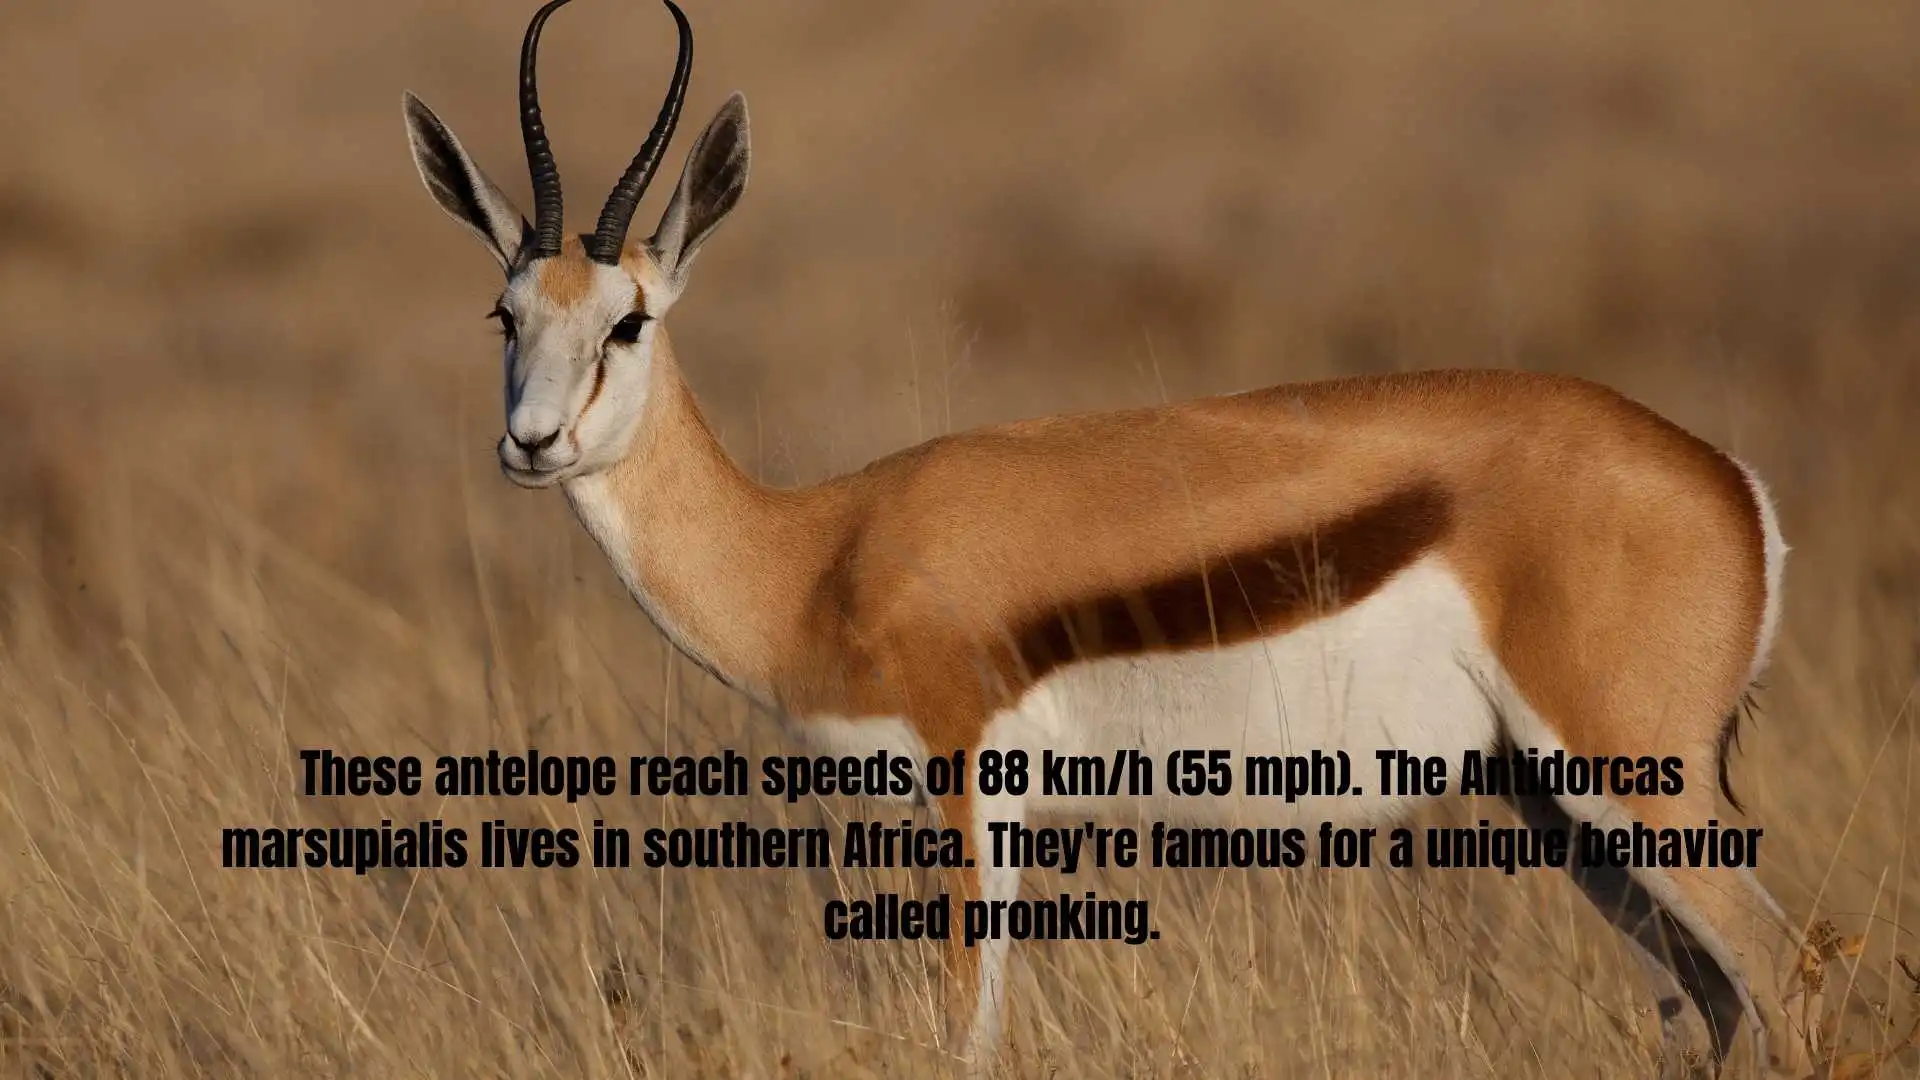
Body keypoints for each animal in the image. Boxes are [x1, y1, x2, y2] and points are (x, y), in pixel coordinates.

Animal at [402, 1, 1820, 1075]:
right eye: (504, 313)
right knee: (1723, 999)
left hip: (1637, 779)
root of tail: (1727, 481)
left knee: (1789, 973)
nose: (530, 442)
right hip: (1556, 804)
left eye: (628, 320)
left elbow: (964, 1036)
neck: (815, 549)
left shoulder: (974, 792)